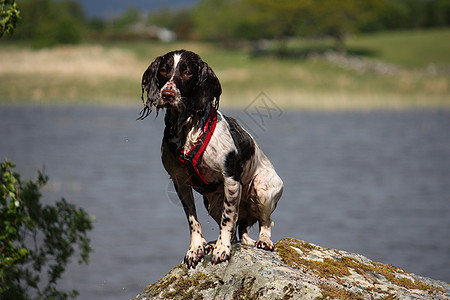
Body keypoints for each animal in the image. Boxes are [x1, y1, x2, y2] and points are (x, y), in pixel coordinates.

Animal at [139, 50, 284, 268]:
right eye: (163, 70)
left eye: (188, 72)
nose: (167, 95)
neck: (188, 130)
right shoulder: (180, 181)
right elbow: (193, 220)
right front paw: (196, 248)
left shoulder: (231, 180)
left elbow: (227, 220)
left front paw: (222, 250)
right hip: (212, 202)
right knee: (238, 232)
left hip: (262, 188)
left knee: (265, 222)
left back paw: (263, 241)